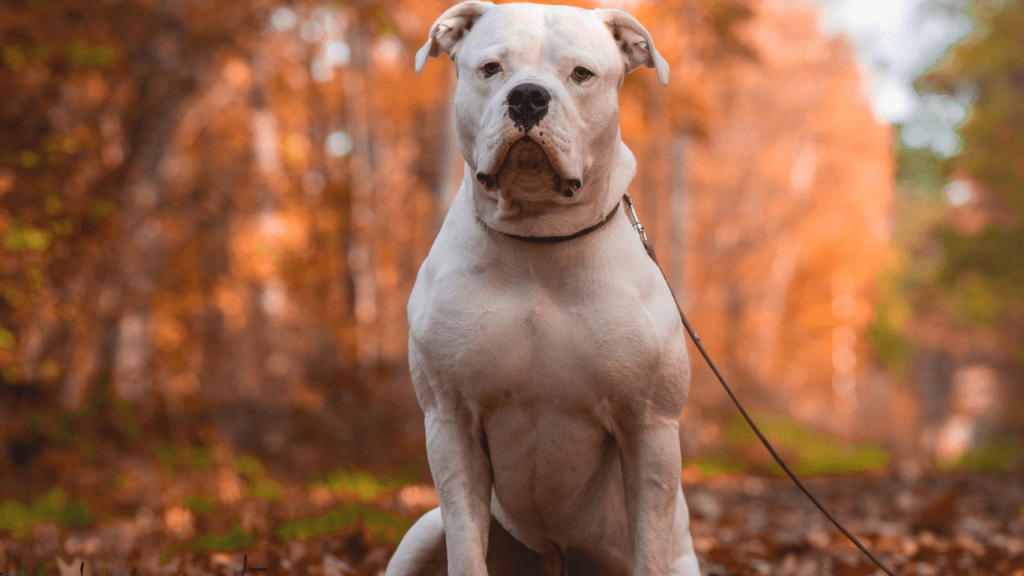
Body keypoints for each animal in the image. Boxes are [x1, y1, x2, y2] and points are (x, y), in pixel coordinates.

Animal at [387, 2, 700, 569]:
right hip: (424, 530)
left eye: (581, 74)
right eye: (491, 69)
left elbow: (649, 544)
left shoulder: (651, 427)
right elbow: (466, 549)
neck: (539, 241)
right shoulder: (449, 422)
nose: (529, 96)